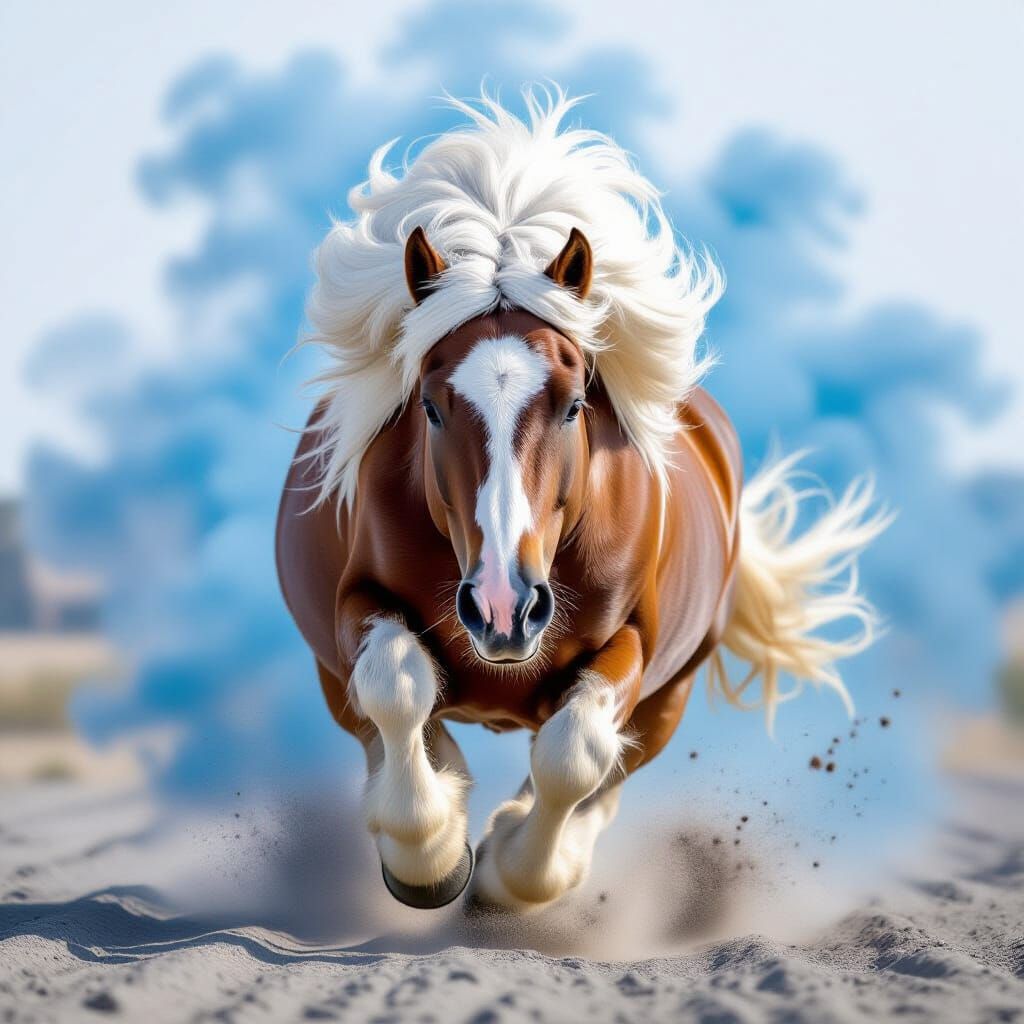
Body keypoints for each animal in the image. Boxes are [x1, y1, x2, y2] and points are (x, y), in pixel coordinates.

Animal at [276, 92, 888, 911]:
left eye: (573, 406)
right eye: (430, 408)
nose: (503, 606)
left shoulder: (634, 644)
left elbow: (577, 754)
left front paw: (513, 871)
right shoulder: (353, 608)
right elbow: (397, 687)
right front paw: (429, 855)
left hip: (671, 691)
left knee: (611, 768)